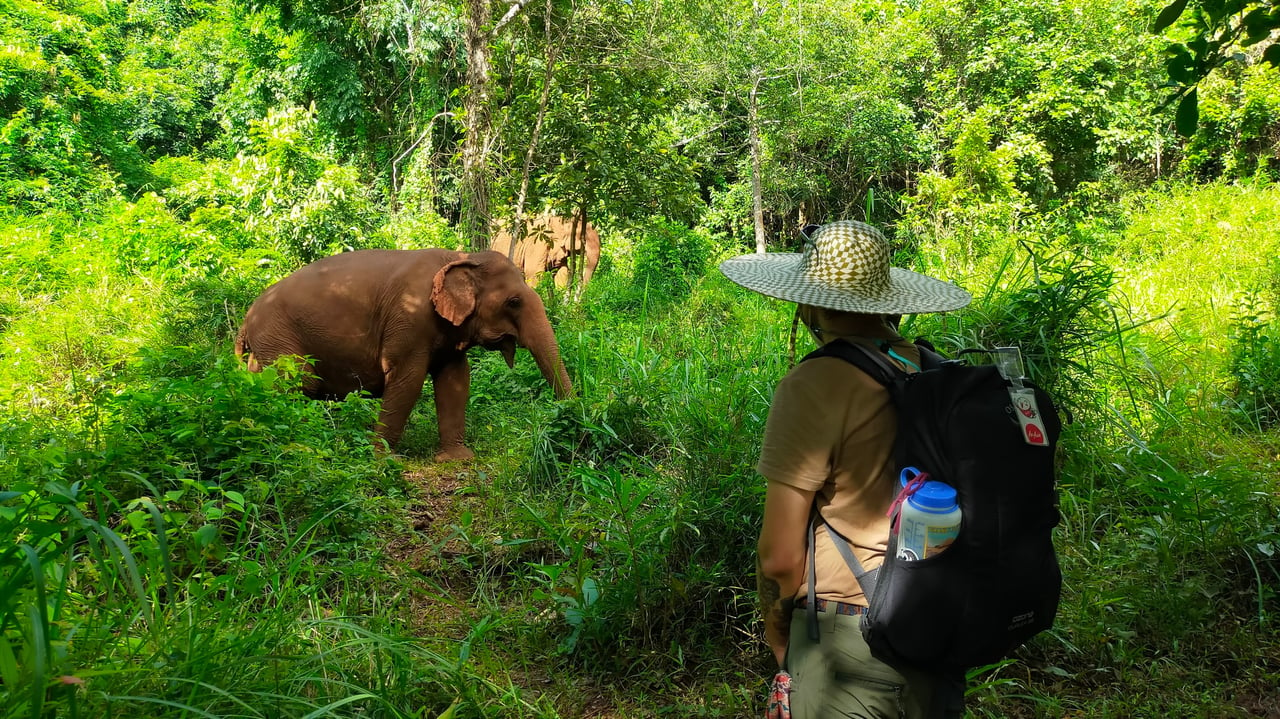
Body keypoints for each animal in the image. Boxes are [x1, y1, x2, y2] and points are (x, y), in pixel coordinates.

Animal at [232, 245, 573, 458]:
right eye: (513, 302)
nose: (571, 412)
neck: (461, 256)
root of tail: (245, 321)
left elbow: (456, 380)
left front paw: (457, 458)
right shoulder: (408, 318)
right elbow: (407, 379)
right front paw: (382, 458)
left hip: (264, 348)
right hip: (278, 341)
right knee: (299, 383)